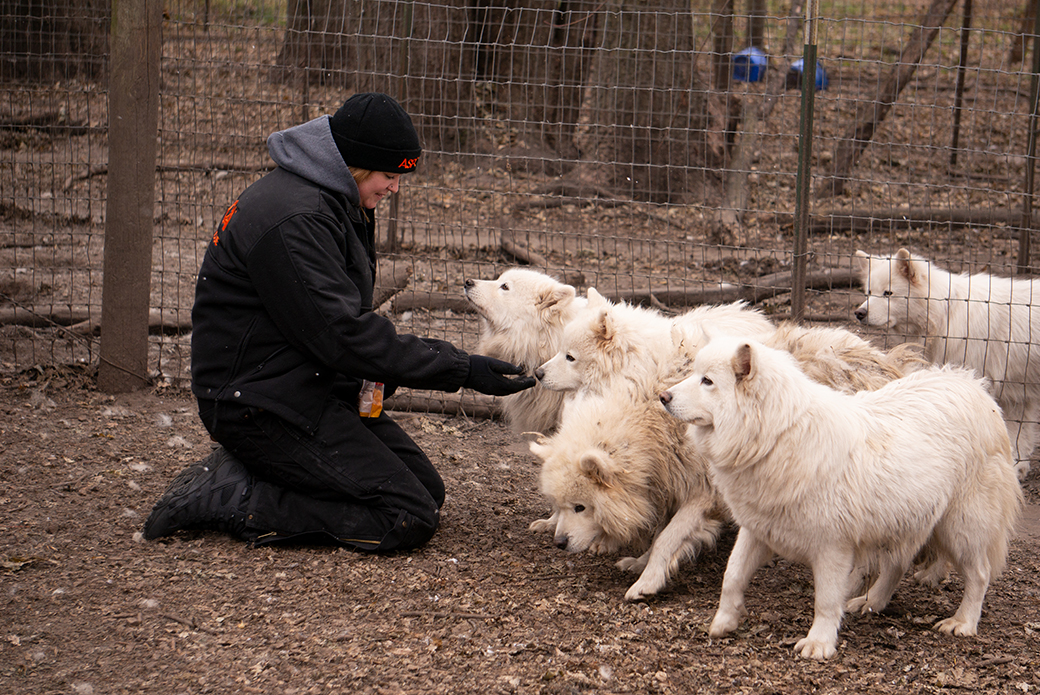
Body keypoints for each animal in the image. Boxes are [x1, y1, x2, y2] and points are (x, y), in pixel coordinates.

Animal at [528, 391, 723, 603]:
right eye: (558, 506)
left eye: (580, 507)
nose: (559, 543)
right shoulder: (670, 484)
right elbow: (659, 535)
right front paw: (640, 563)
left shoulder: (702, 493)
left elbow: (666, 539)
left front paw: (647, 582)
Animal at [661, 337, 1019, 661]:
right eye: (695, 374)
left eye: (707, 381)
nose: (662, 397)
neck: (776, 436)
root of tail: (972, 385)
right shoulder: (756, 530)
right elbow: (732, 576)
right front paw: (724, 621)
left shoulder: (832, 548)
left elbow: (825, 600)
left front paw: (819, 644)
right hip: (904, 522)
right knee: (898, 565)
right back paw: (872, 602)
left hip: (961, 529)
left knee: (979, 575)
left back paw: (963, 622)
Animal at [856, 246, 1035, 480]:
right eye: (869, 292)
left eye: (888, 293)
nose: (859, 313)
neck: (945, 312)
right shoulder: (1018, 397)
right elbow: (1018, 438)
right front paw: (1017, 468)